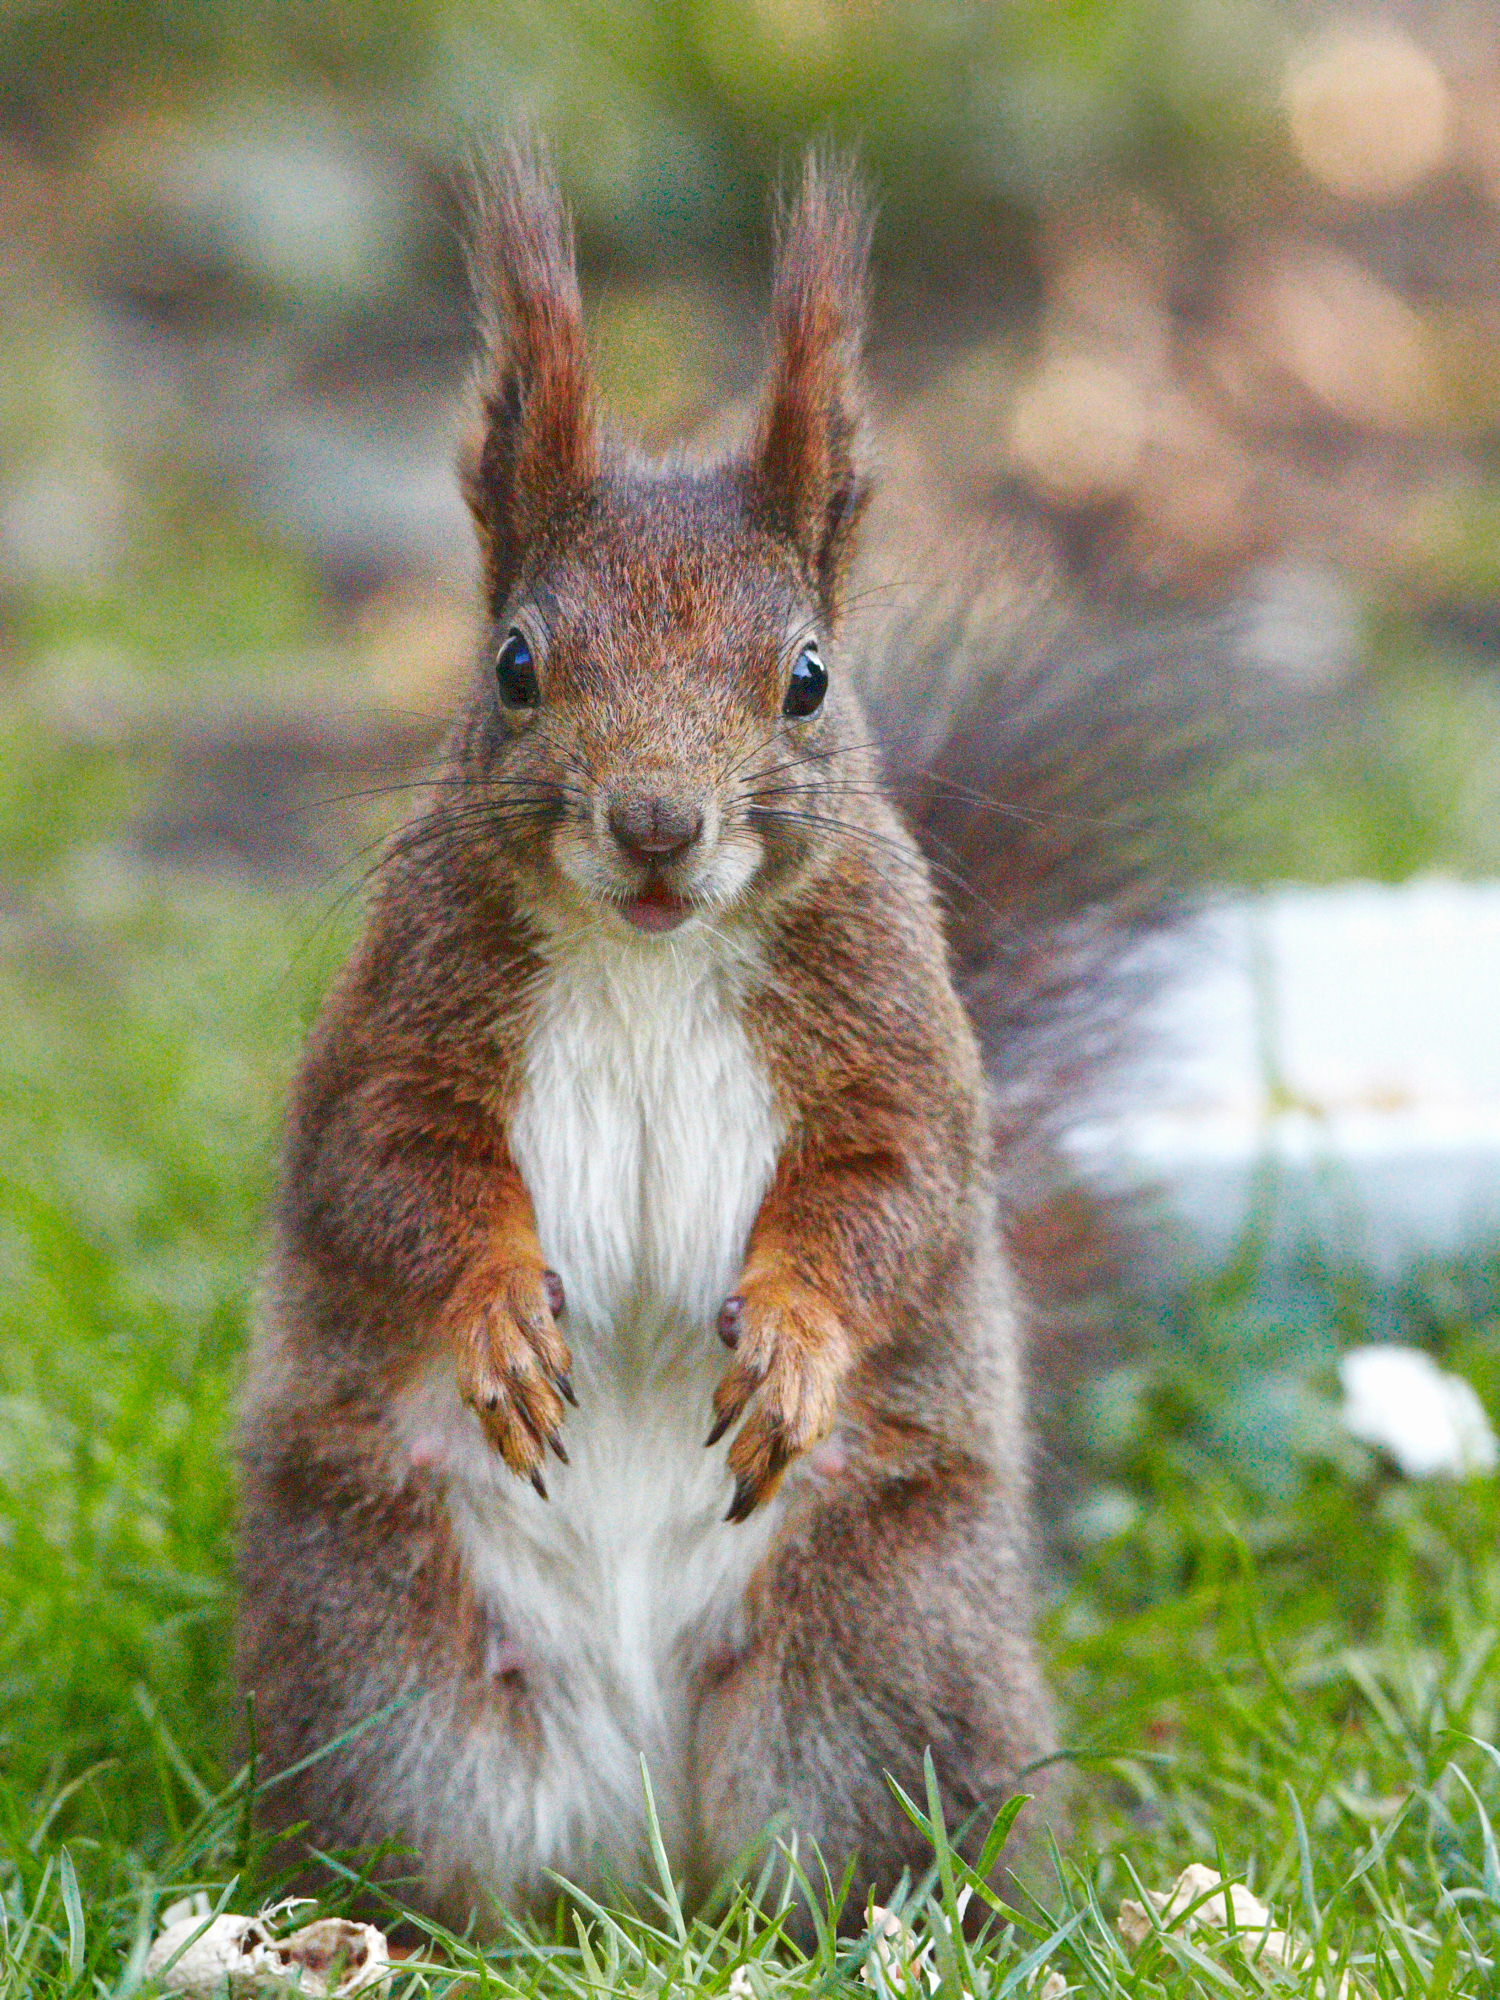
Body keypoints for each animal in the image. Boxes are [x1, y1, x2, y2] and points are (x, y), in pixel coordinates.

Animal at [236, 140, 1233, 1935]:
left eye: (808, 679)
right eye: (514, 664)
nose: (653, 824)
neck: (650, 958)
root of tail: (645, 1861)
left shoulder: (895, 1040)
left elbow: (887, 1195)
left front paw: (793, 1340)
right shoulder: (399, 1022)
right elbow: (391, 1170)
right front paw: (499, 1318)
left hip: (884, 1655)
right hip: (382, 1665)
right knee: (427, 1834)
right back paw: (374, 1933)